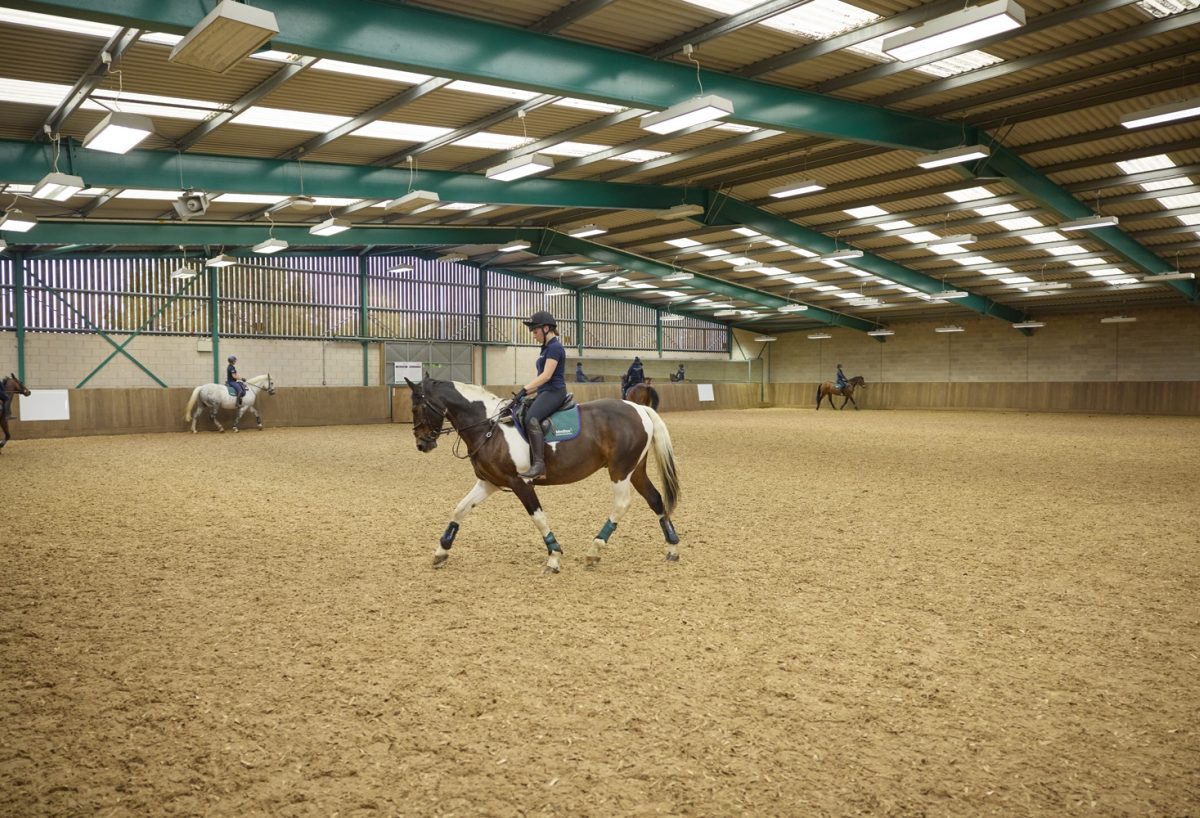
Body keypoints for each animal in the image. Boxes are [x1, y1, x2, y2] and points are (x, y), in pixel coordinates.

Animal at [408, 376, 681, 573]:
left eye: (417, 407)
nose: (422, 444)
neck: (489, 426)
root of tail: (639, 408)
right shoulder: (489, 482)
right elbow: (460, 509)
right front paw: (441, 551)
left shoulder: (520, 482)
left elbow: (538, 518)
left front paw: (554, 557)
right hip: (635, 469)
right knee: (655, 499)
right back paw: (672, 547)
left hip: (620, 470)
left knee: (622, 503)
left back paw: (594, 550)